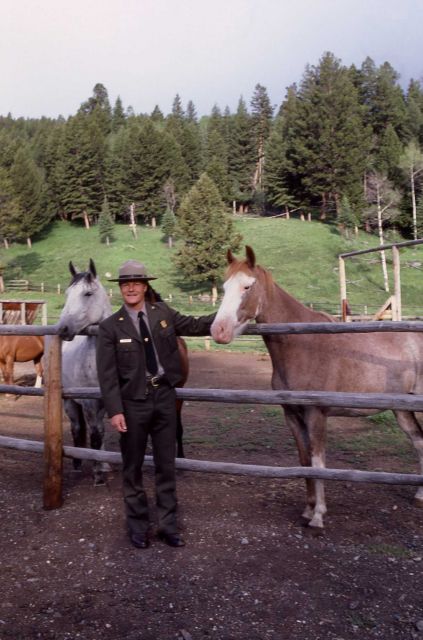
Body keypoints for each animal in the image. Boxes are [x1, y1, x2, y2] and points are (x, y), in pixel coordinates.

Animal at [57, 260, 189, 484]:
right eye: (67, 294)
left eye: (87, 293)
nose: (62, 329)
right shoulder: (90, 403)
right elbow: (95, 434)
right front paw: (98, 474)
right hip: (70, 402)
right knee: (78, 429)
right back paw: (78, 464)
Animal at [210, 246, 423, 531]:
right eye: (224, 287)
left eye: (247, 286)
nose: (218, 331)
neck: (302, 345)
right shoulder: (292, 415)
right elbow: (304, 461)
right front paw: (307, 509)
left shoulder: (316, 414)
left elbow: (318, 462)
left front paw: (319, 516)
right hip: (402, 410)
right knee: (419, 441)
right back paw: (420, 496)